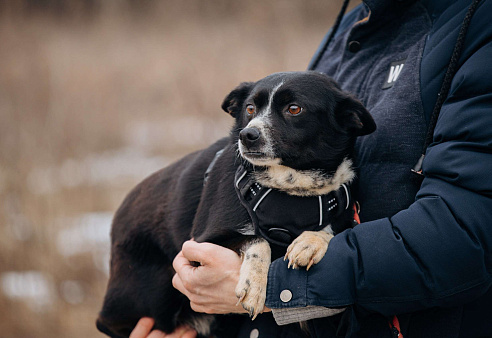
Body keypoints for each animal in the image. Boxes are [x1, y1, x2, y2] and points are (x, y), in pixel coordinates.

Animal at [97, 70, 376, 336]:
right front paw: (254, 286)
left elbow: (337, 231)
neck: (290, 191)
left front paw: (310, 241)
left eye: (294, 108)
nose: (247, 134)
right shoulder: (198, 246)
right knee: (110, 322)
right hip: (153, 292)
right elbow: (258, 240)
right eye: (250, 108)